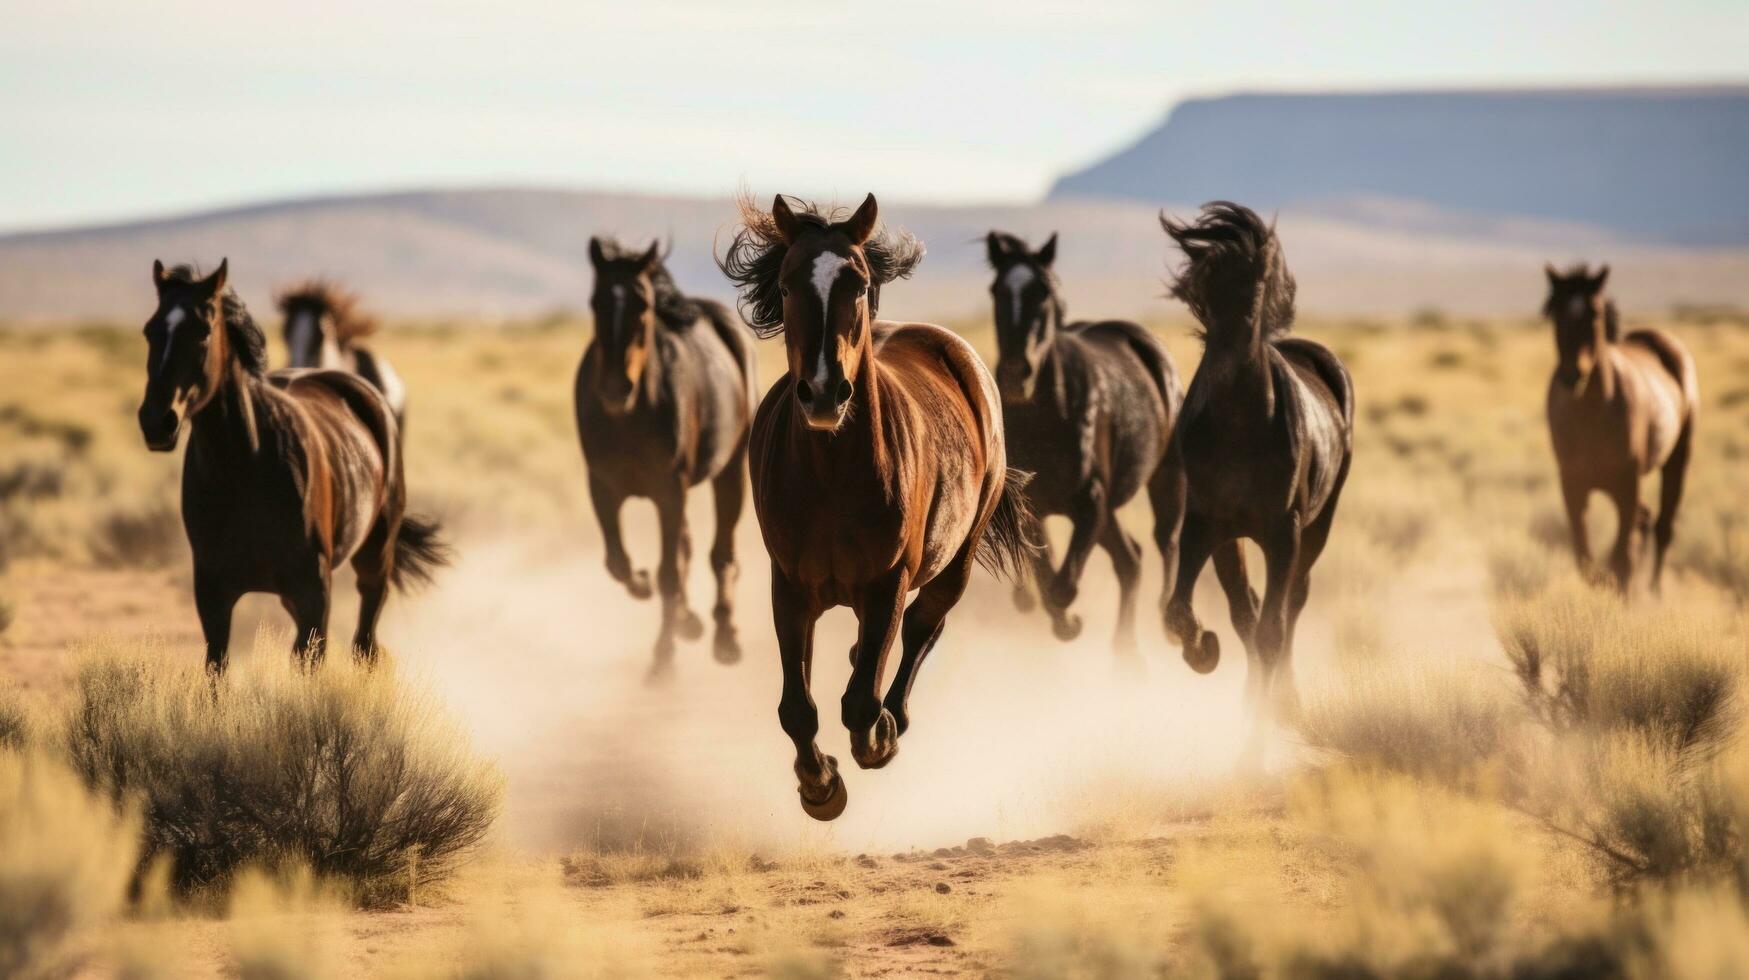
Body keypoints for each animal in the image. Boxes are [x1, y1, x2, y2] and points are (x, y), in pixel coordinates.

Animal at [138, 260, 451, 672]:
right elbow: (217, 671)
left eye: (203, 331)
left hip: (375, 559)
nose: (157, 422)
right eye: (150, 330)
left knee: (365, 642)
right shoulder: (213, 595)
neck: (245, 467)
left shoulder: (313, 593)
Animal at [573, 234, 752, 679]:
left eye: (643, 305)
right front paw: (644, 585)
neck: (629, 418)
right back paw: (692, 621)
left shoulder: (669, 490)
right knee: (687, 547)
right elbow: (618, 563)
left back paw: (726, 638)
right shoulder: (602, 488)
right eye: (596, 302)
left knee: (721, 554)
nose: (615, 387)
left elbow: (669, 573)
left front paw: (663, 659)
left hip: (729, 473)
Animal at [717, 191, 1028, 819]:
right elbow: (797, 707)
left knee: (922, 627)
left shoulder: (888, 580)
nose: (823, 393)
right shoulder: (789, 586)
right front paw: (819, 786)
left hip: (953, 563)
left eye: (857, 283)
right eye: (786, 284)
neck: (832, 477)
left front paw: (875, 739)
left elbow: (861, 700)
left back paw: (894, 717)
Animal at [986, 229, 1189, 658]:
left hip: (1166, 480)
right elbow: (1046, 577)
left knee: (1165, 542)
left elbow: (1061, 587)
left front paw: (1071, 622)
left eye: (1044, 291)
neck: (1047, 421)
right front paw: (1043, 610)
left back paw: (1174, 629)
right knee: (1131, 560)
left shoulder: (1092, 503)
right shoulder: (1036, 509)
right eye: (997, 290)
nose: (1013, 375)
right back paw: (1126, 656)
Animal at [1546, 264, 1693, 595]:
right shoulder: (1572, 486)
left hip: (1675, 460)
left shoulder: (1627, 483)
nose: (1572, 375)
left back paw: (1654, 592)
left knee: (1662, 526)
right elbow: (1586, 560)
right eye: (1554, 312)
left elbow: (1621, 559)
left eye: (1595, 313)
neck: (1591, 414)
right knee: (1645, 520)